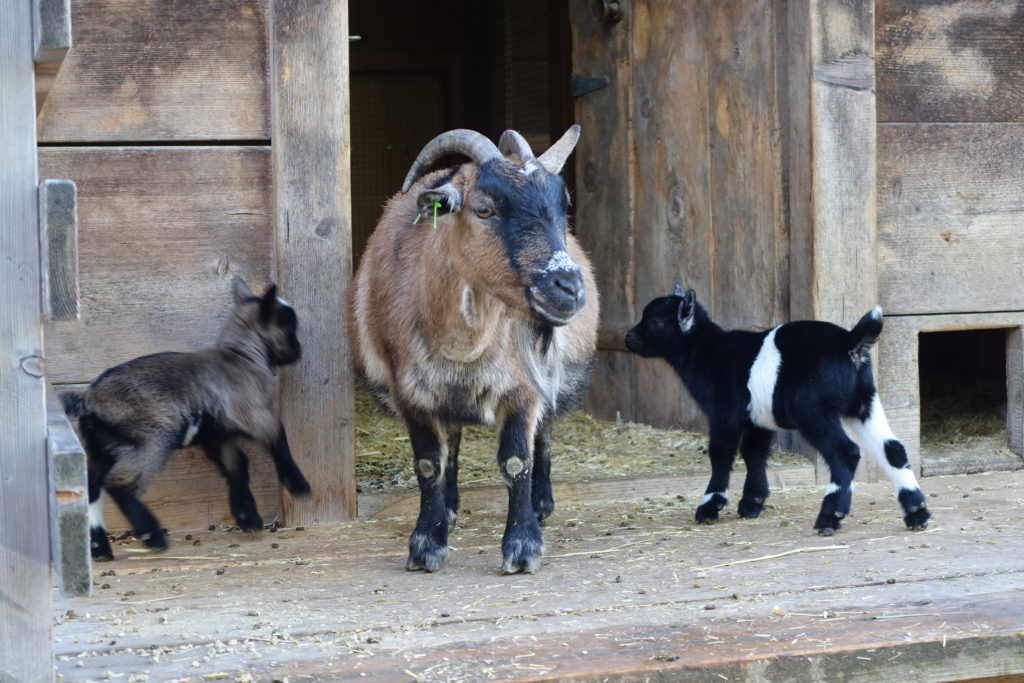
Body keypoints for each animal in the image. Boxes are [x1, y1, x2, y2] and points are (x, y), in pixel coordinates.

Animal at [61, 278, 309, 561]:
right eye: (287, 326)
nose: (298, 352)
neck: (243, 356)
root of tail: (88, 399)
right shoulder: (249, 414)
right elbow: (277, 433)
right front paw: (297, 484)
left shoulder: (215, 436)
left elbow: (237, 466)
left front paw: (248, 517)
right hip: (154, 438)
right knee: (119, 482)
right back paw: (152, 536)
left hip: (102, 447)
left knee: (92, 487)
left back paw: (100, 548)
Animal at [352, 126, 598, 573]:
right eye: (483, 210)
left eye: (563, 206)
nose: (569, 288)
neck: (463, 346)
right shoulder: (411, 392)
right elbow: (429, 463)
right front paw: (426, 544)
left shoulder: (522, 388)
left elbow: (517, 461)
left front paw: (522, 547)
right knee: (452, 443)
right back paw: (449, 507)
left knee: (545, 434)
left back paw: (541, 503)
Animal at [622, 282, 929, 532]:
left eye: (655, 322)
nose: (628, 338)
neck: (708, 352)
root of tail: (851, 343)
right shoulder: (758, 417)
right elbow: (754, 453)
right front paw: (752, 502)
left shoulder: (724, 413)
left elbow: (721, 453)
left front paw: (711, 506)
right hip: (864, 403)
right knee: (893, 448)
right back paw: (916, 513)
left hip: (812, 410)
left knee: (846, 452)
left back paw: (830, 516)